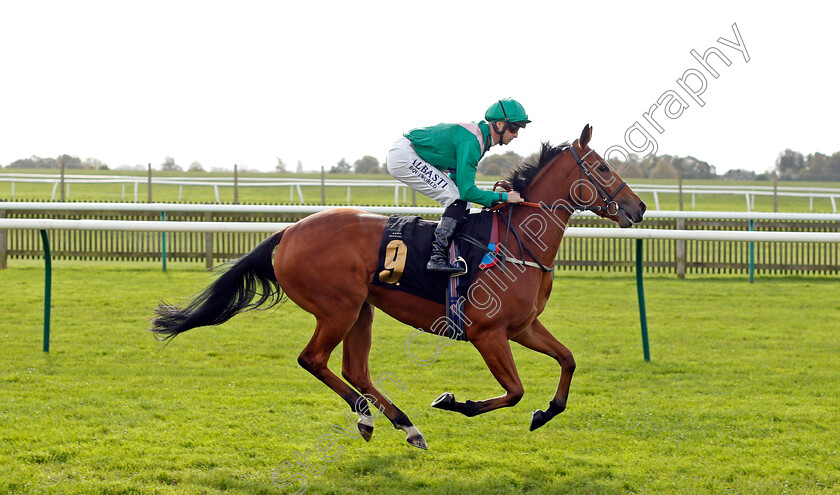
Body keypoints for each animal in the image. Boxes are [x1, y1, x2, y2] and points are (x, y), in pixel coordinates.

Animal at [151, 124, 648, 450]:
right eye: (602, 167)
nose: (639, 207)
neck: (516, 240)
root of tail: (288, 231)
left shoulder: (523, 327)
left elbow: (567, 360)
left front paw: (546, 412)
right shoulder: (487, 333)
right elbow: (513, 391)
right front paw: (453, 401)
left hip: (361, 310)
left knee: (355, 369)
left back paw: (397, 423)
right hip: (338, 308)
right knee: (313, 360)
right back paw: (373, 418)